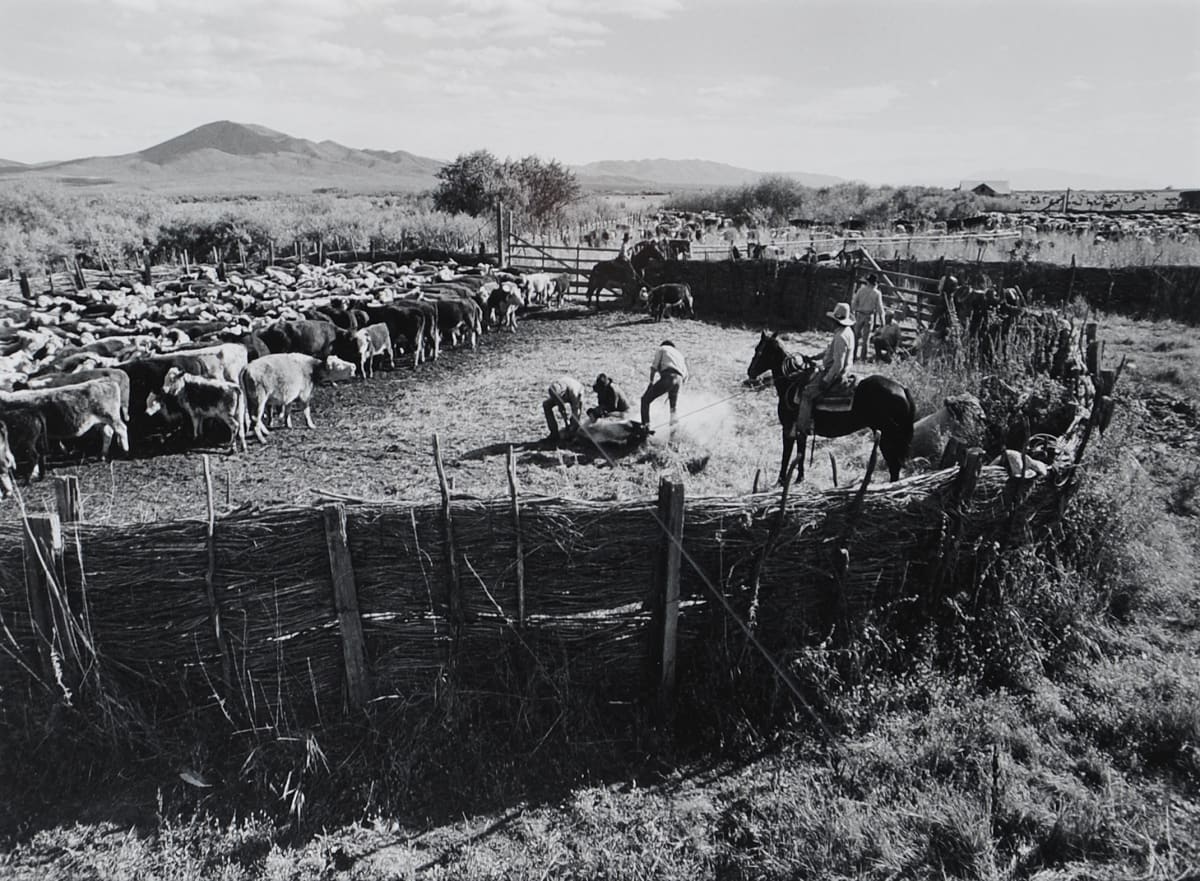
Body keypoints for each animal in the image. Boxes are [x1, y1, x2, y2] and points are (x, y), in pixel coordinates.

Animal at [744, 331, 912, 487]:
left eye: (759, 350)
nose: (750, 371)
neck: (791, 382)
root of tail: (902, 388)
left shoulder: (788, 429)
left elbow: (787, 455)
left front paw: (780, 481)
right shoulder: (799, 431)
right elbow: (800, 453)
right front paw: (799, 478)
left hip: (888, 439)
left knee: (894, 467)